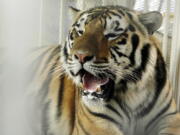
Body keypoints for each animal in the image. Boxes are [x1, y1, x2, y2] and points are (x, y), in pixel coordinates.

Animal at [29, 5, 180, 135]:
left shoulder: (171, 118)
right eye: (80, 32)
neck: (131, 95)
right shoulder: (96, 124)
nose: (80, 56)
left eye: (111, 35)